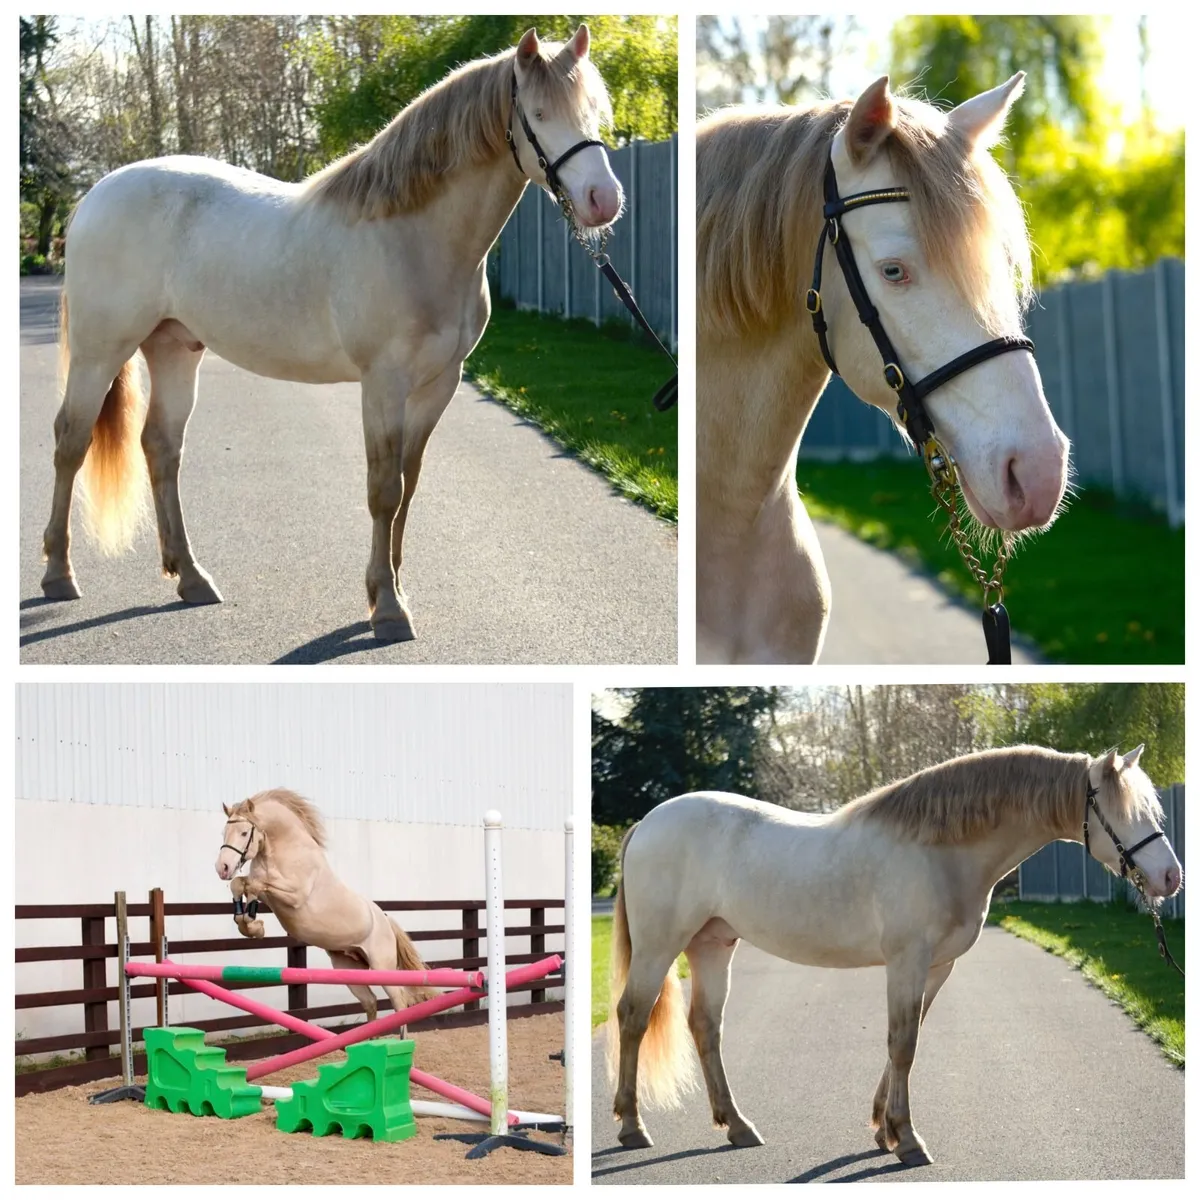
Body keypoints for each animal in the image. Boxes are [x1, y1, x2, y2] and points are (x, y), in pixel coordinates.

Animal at [42, 26, 621, 642]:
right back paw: (59, 574)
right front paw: (386, 608)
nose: (603, 201)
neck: (412, 236)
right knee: (72, 441)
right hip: (101, 351)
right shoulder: (383, 383)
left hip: (175, 348)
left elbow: (409, 483)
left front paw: (392, 588)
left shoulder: (439, 384)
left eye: (594, 111)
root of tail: (94, 196)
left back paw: (191, 577)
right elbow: (384, 488)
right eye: (537, 113)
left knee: (161, 447)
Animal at [215, 789, 431, 1023]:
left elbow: (255, 885)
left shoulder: (293, 894)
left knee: (400, 1001)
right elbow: (241, 885)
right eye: (224, 832)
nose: (222, 868)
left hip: (382, 967)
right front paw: (250, 926)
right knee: (370, 1001)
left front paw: (255, 926)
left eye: (244, 833)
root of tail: (385, 919)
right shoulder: (268, 894)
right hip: (348, 967)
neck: (283, 849)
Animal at [607, 745, 1182, 1166]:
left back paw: (738, 1126)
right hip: (661, 946)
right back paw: (633, 1127)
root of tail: (646, 822)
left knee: (705, 1027)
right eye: (1123, 813)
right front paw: (907, 1140)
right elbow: (903, 1044)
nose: (1170, 878)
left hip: (712, 945)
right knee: (633, 1016)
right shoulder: (907, 959)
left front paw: (883, 1128)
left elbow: (907, 1038)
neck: (940, 849)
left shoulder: (935, 967)